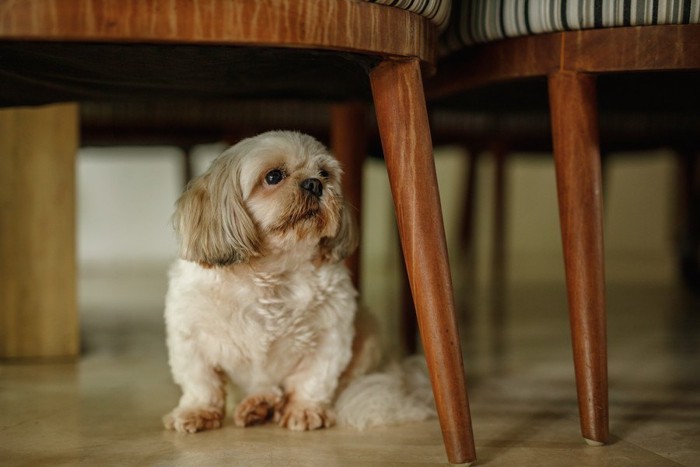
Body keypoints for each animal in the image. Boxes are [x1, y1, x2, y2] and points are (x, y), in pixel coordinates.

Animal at [164, 130, 434, 434]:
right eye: (273, 176)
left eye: (325, 173)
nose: (314, 183)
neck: (272, 273)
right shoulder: (190, 337)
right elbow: (201, 382)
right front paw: (198, 411)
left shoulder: (331, 336)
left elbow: (313, 379)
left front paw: (304, 409)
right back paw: (259, 404)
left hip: (368, 337)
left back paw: (263, 404)